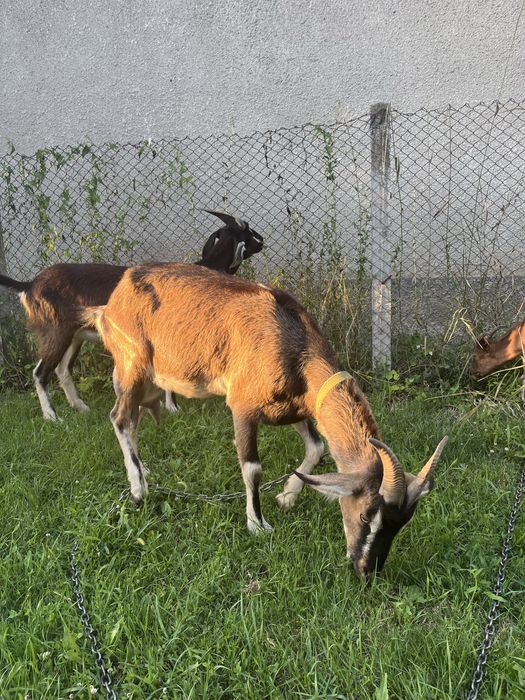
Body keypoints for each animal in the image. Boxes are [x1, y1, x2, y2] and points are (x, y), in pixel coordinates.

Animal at [0, 211, 263, 420]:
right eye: (248, 230)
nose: (262, 241)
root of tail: (29, 285)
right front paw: (173, 407)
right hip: (55, 330)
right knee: (40, 372)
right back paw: (52, 417)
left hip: (75, 335)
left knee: (62, 369)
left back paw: (81, 407)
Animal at [88, 263, 448, 578]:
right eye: (365, 515)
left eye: (403, 523)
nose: (366, 570)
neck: (294, 347)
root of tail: (115, 297)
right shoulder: (243, 407)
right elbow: (252, 468)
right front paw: (257, 524)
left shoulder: (295, 410)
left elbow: (316, 448)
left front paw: (287, 496)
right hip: (132, 363)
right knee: (119, 417)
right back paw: (138, 487)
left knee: (132, 418)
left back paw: (143, 470)